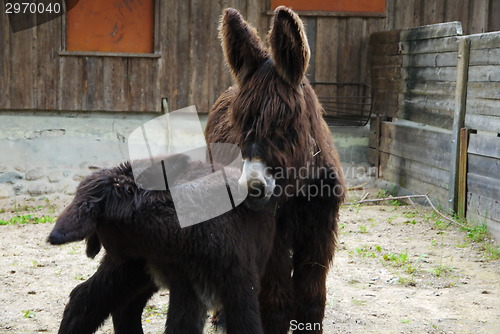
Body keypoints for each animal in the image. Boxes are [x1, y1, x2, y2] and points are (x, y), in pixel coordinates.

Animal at [48, 154, 276, 334]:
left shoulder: (232, 286)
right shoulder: (195, 287)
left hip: (134, 270)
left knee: (110, 303)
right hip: (132, 268)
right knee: (89, 299)